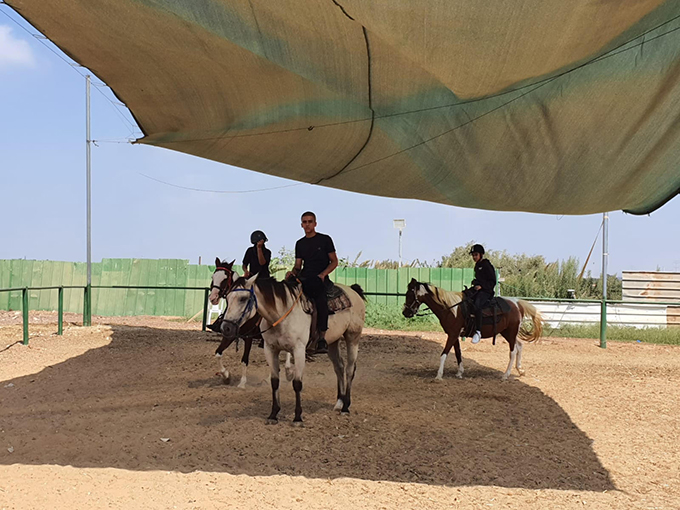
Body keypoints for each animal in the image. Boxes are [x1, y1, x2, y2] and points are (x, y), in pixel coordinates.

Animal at [404, 278, 540, 378]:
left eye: (410, 294)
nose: (405, 312)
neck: (451, 308)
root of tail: (517, 304)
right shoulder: (454, 335)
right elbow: (458, 353)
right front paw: (459, 372)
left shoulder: (452, 335)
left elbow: (444, 354)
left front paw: (439, 375)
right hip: (507, 332)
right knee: (520, 346)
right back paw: (520, 370)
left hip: (511, 332)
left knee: (513, 351)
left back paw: (506, 375)